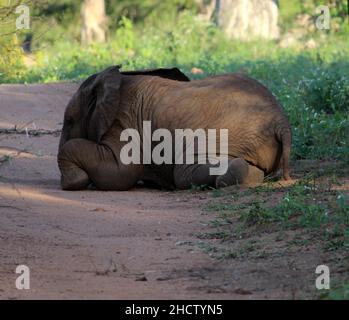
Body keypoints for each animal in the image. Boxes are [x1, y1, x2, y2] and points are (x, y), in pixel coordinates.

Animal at [57, 65, 290, 190]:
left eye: (69, 120)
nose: (60, 183)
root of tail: (281, 120)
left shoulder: (123, 121)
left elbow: (121, 171)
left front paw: (75, 183)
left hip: (224, 132)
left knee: (183, 172)